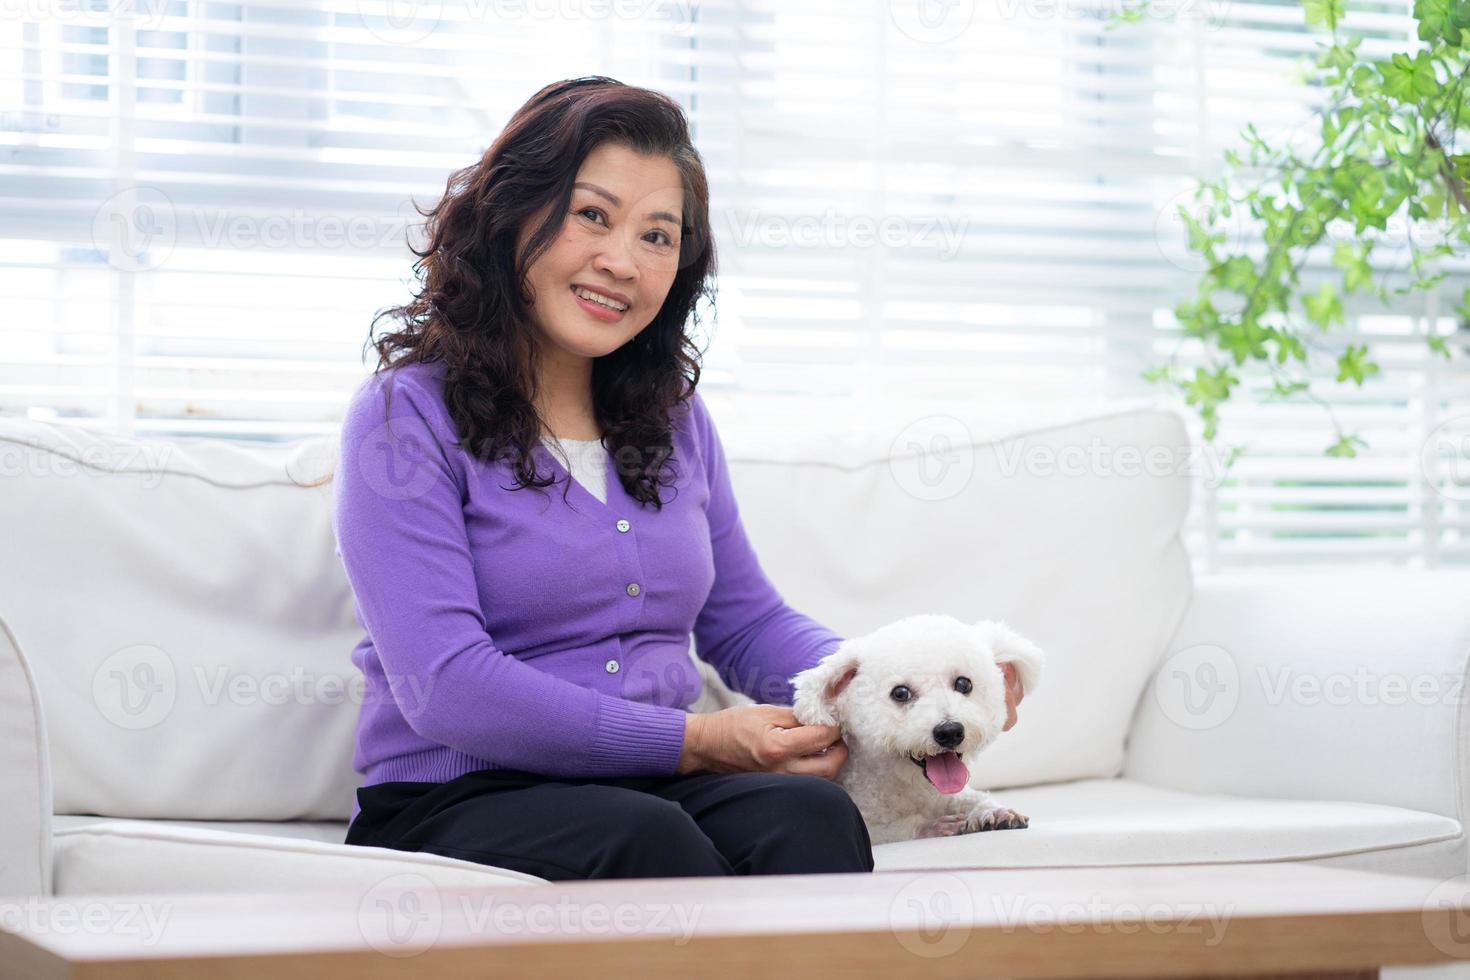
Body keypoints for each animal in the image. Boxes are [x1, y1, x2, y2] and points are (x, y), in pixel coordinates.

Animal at [793, 617, 1046, 846]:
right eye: (900, 693)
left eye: (964, 684)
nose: (950, 731)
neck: (913, 789)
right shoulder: (872, 827)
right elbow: (891, 830)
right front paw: (930, 827)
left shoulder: (948, 795)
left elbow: (971, 797)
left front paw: (992, 812)